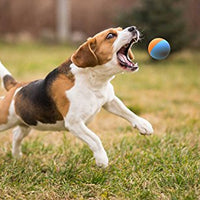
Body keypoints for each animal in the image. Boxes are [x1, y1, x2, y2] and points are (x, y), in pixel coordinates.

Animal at [0, 26, 153, 167]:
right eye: (110, 35)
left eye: (120, 29)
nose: (133, 28)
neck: (94, 80)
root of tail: (15, 86)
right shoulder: (74, 123)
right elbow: (95, 138)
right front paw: (102, 159)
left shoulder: (109, 100)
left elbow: (127, 111)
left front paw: (143, 125)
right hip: (6, 119)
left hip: (26, 123)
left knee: (16, 134)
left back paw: (17, 156)